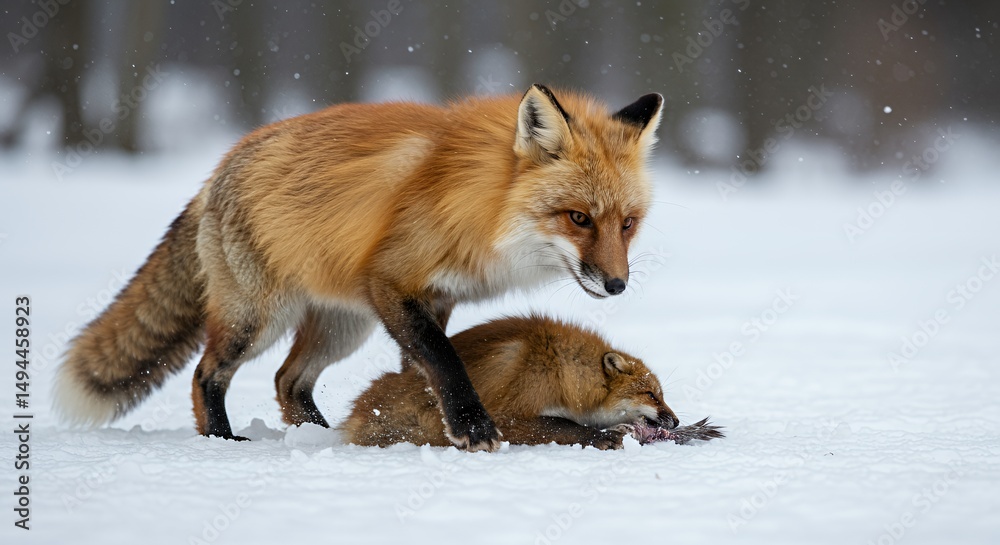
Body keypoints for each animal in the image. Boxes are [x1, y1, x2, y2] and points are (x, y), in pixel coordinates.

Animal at [342, 314, 679, 450]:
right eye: (651, 395)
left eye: (661, 395)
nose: (676, 422)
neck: (561, 368)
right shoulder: (509, 414)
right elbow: (561, 426)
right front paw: (600, 437)